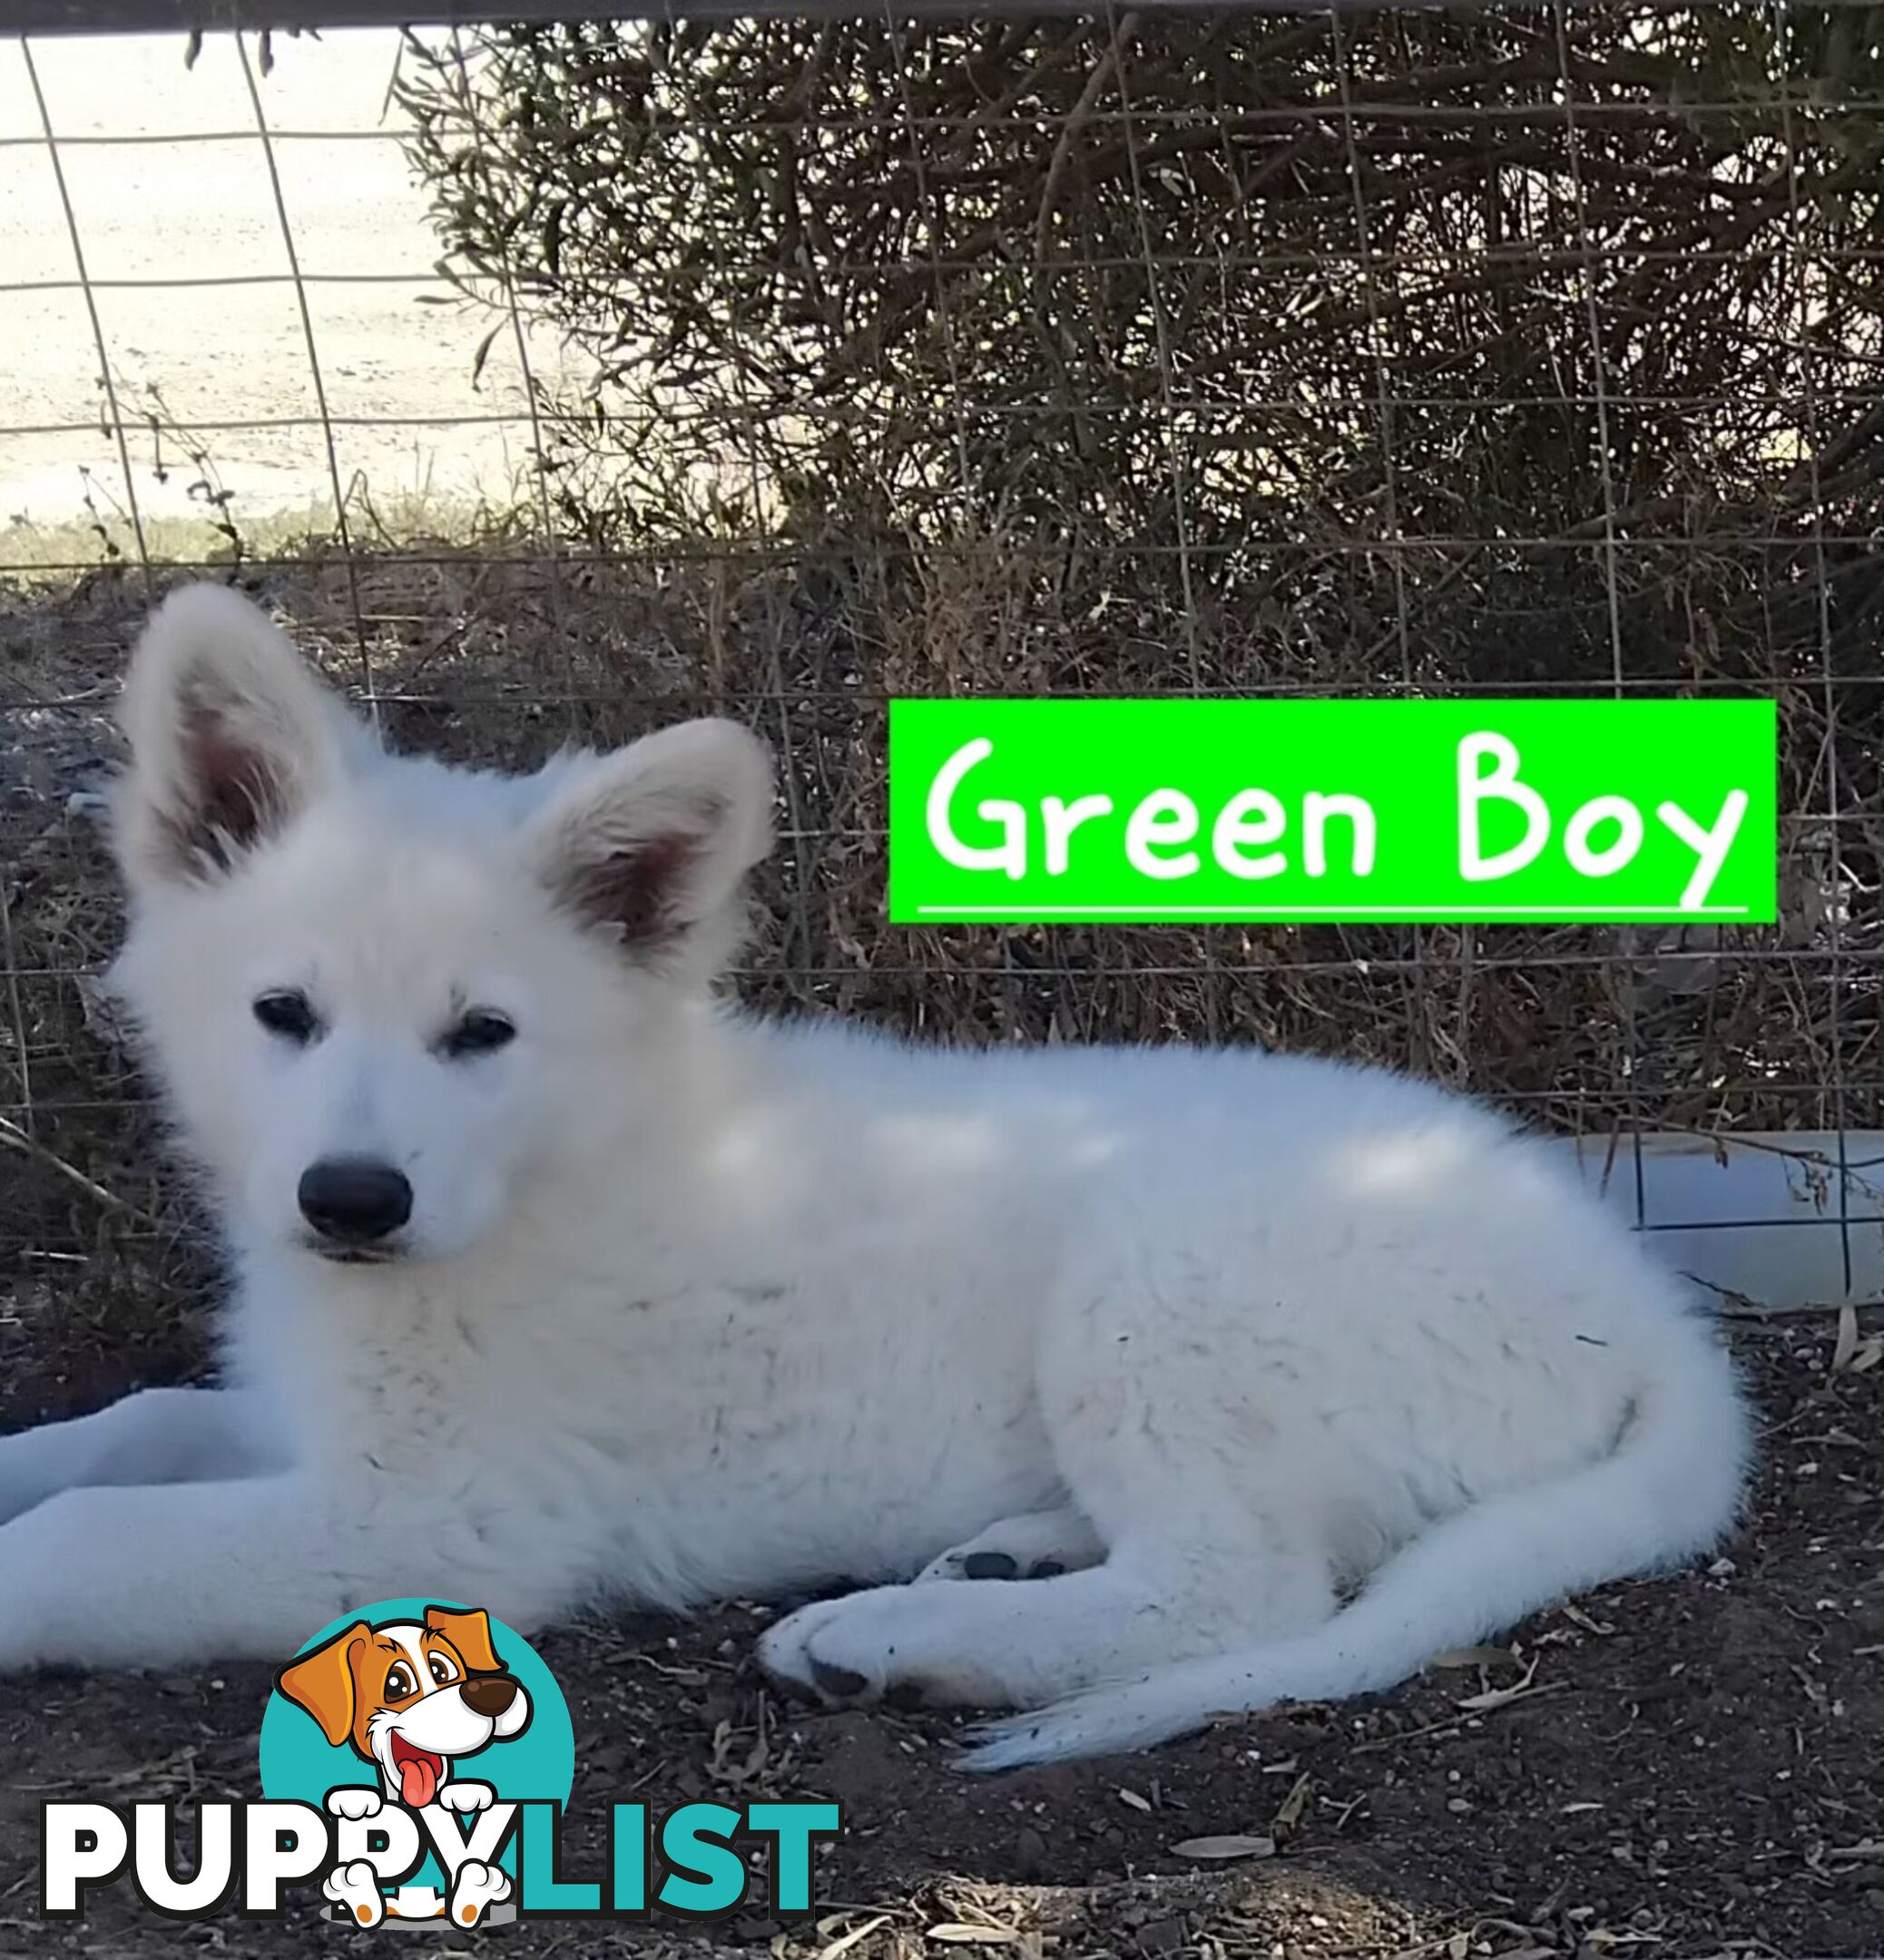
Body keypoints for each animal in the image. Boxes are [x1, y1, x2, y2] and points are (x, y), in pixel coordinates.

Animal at [0, 580, 1748, 1764]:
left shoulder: (442, 1517)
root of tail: (1642, 1301)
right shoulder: (311, 1422)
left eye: (483, 1034)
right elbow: (122, 1427)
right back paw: (1001, 1549)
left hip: (1163, 1282)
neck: (558, 1161)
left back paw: (910, 1635)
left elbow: (85, 1541)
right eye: (282, 1015)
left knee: (1236, 1590)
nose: (351, 1203)